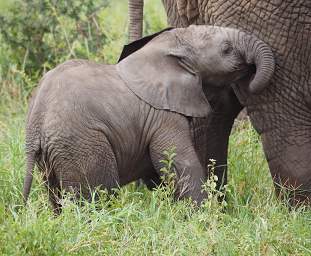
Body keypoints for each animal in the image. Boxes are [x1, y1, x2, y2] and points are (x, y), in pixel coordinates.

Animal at [23, 25, 274, 211]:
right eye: (226, 49)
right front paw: (206, 217)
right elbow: (179, 162)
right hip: (81, 145)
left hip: (53, 156)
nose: (251, 81)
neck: (169, 46)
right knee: (98, 197)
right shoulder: (162, 116)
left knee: (56, 197)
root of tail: (36, 124)